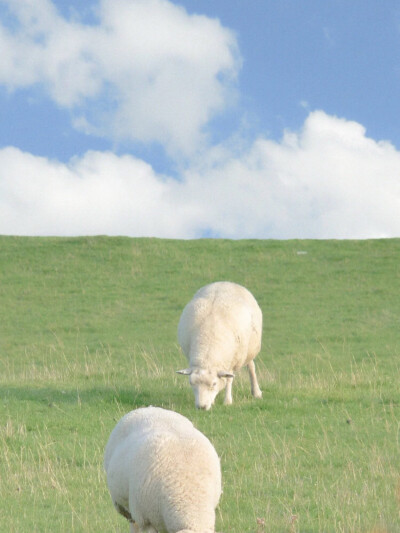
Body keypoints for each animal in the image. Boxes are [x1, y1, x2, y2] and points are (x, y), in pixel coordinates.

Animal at [177, 280, 262, 410]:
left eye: (214, 384)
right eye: (191, 383)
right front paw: (212, 402)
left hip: (249, 350)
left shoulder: (232, 362)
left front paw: (227, 401)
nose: (201, 407)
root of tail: (225, 282)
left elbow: (229, 380)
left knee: (251, 367)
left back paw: (256, 392)